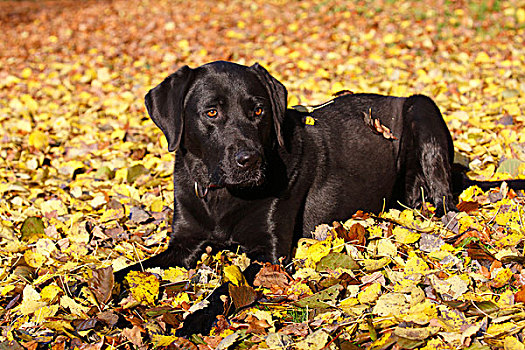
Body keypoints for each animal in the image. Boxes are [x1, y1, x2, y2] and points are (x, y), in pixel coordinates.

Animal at [115, 60, 516, 334]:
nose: (250, 160)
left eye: (258, 110)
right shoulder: (183, 243)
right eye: (211, 112)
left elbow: (229, 286)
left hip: (422, 107)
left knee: (443, 200)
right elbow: (127, 271)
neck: (220, 195)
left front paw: (195, 318)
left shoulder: (270, 253)